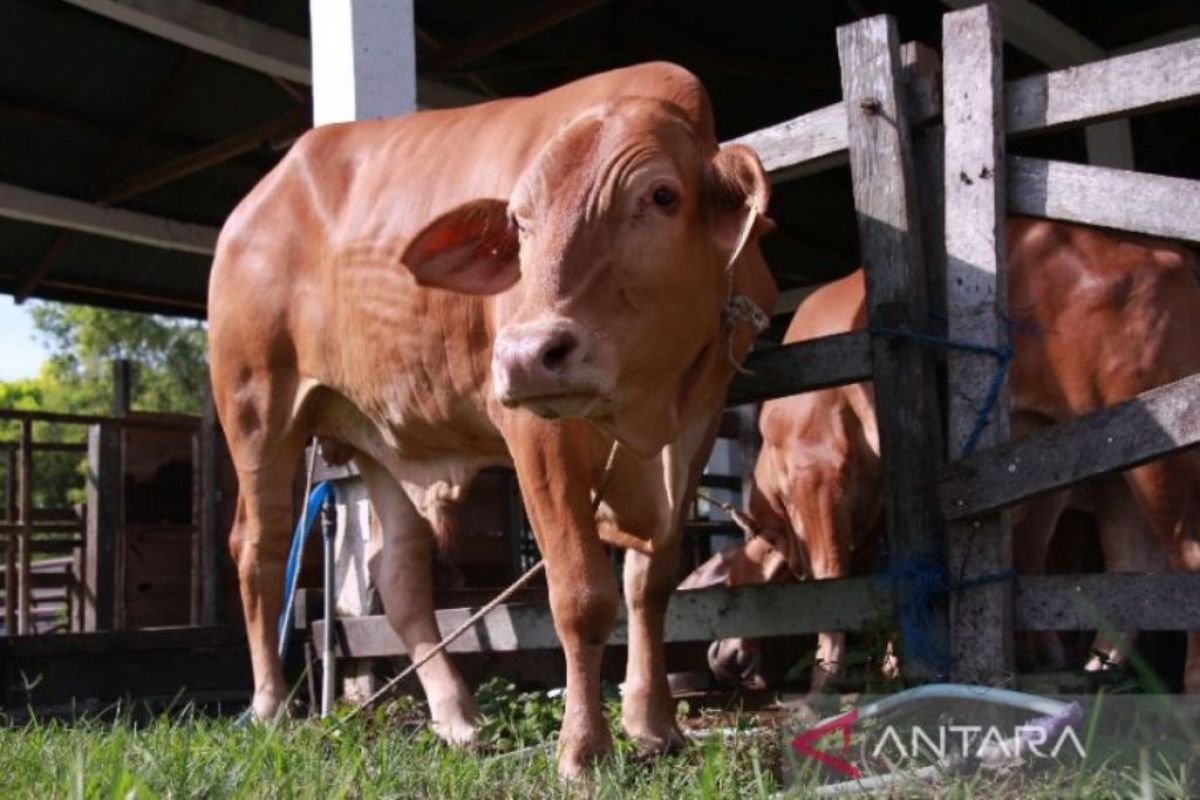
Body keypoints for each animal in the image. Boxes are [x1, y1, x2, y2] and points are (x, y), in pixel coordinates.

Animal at [207, 62, 777, 777]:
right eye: (520, 223)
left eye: (663, 196)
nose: (526, 354)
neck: (650, 406)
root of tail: (255, 202)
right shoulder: (539, 437)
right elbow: (582, 595)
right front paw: (583, 748)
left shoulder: (695, 431)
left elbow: (650, 586)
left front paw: (655, 726)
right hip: (256, 408)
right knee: (259, 547)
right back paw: (271, 706)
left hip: (380, 443)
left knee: (398, 577)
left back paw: (457, 717)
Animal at [691, 220, 1195, 695]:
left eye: (727, 574)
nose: (718, 657)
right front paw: (893, 667)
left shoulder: (817, 469)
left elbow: (828, 574)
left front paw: (826, 679)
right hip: (1111, 465)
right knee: (1132, 567)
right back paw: (1096, 675)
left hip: (1161, 454)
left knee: (1186, 555)